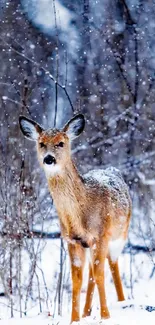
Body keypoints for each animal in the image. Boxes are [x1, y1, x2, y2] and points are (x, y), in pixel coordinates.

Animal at [18, 113, 131, 322]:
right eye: (41, 143)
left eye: (61, 143)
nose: (49, 158)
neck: (81, 215)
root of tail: (113, 170)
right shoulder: (72, 240)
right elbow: (77, 279)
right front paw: (74, 319)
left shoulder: (101, 234)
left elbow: (100, 273)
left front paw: (105, 316)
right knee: (92, 273)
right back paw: (87, 312)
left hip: (120, 234)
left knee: (112, 265)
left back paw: (122, 301)